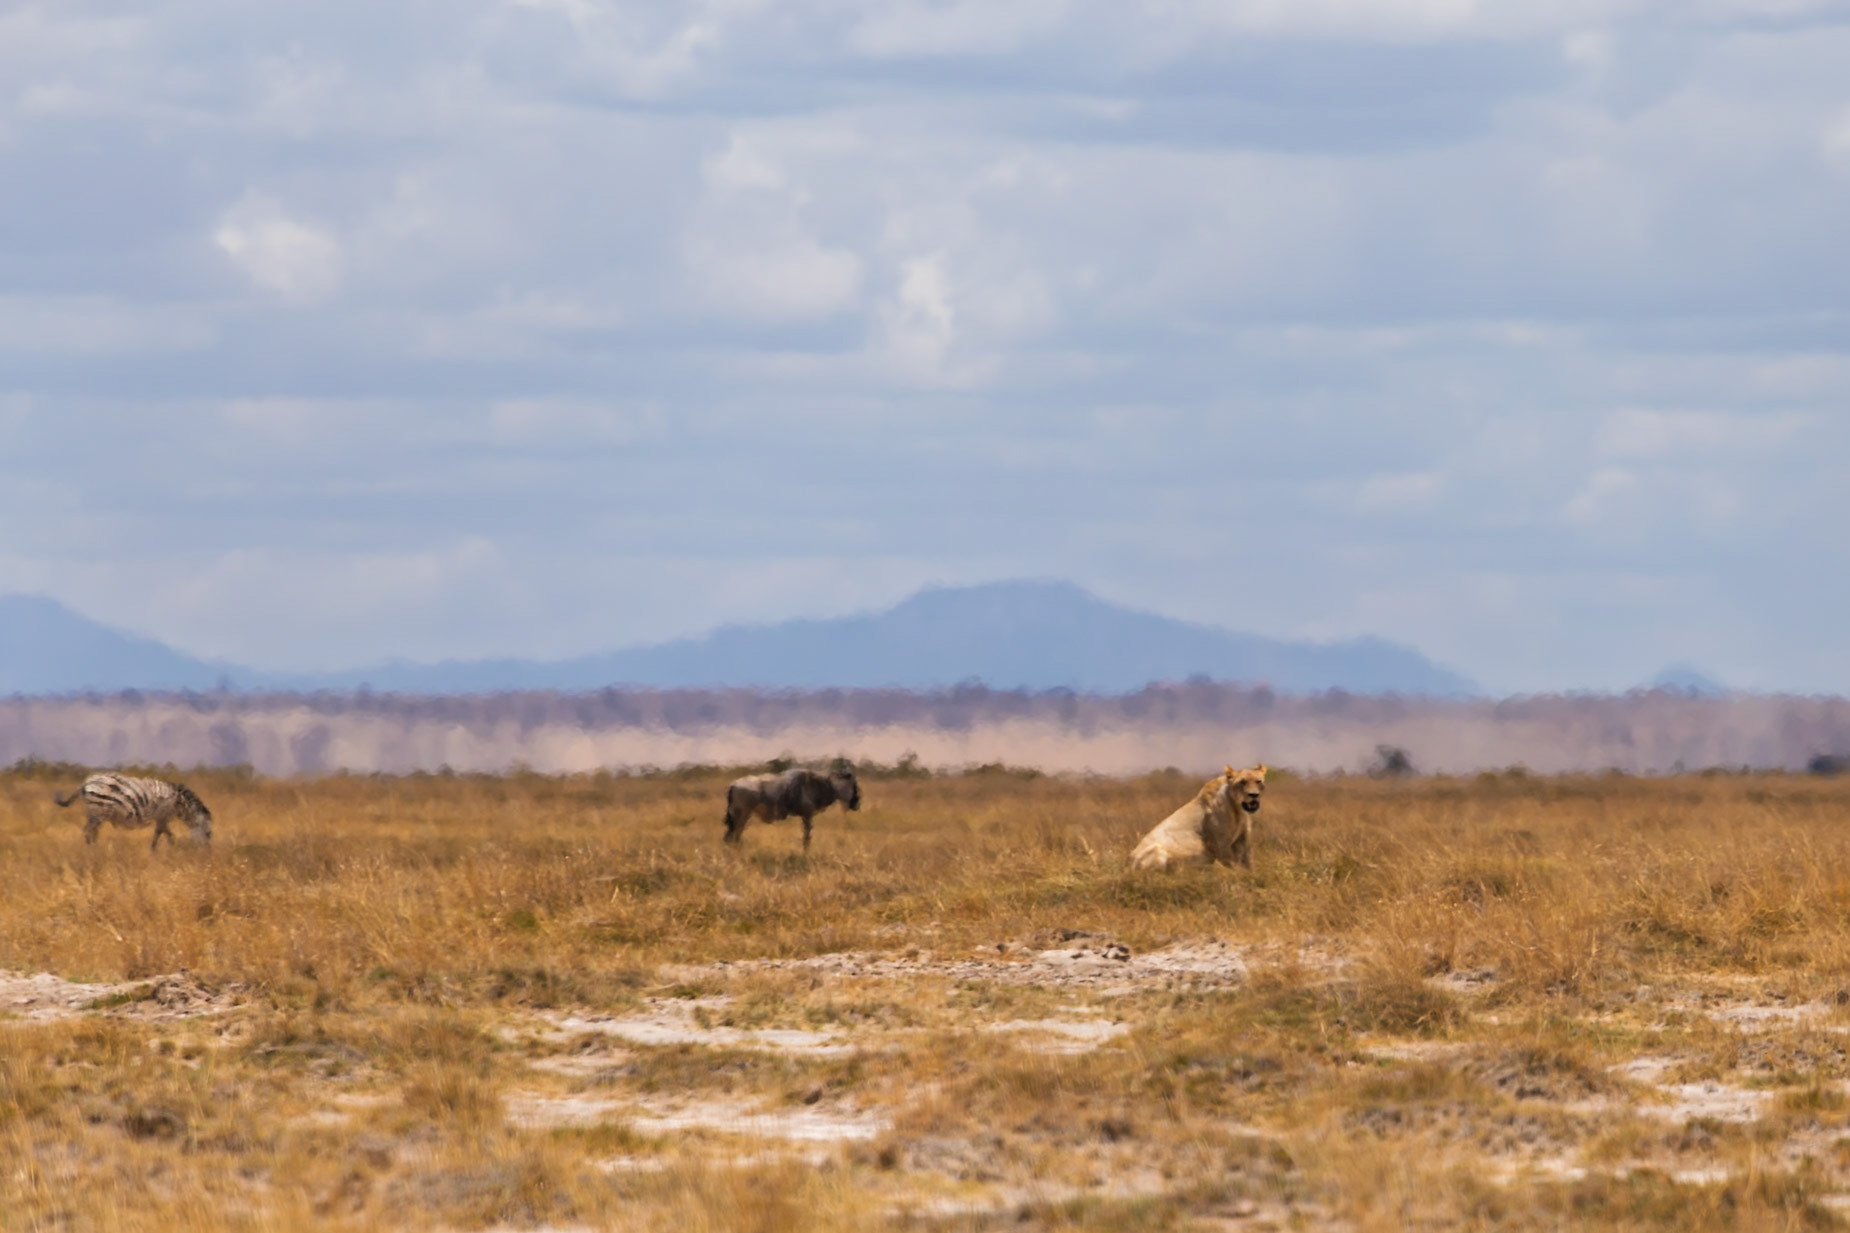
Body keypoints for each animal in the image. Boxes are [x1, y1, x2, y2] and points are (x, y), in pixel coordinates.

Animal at [54, 773, 214, 849]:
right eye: (208, 834)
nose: (208, 854)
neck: (178, 802)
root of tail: (85, 783)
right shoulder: (163, 815)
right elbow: (163, 834)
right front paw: (165, 850)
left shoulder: (162, 817)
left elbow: (164, 834)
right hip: (98, 811)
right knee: (88, 831)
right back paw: (92, 851)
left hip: (95, 813)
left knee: (92, 832)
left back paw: (95, 849)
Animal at [1130, 764, 1267, 870]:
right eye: (1242, 782)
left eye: (1258, 781)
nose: (1254, 795)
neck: (1238, 810)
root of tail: (1128, 864)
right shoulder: (1220, 844)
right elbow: (1234, 867)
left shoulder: (1242, 840)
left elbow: (1248, 863)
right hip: (1156, 849)